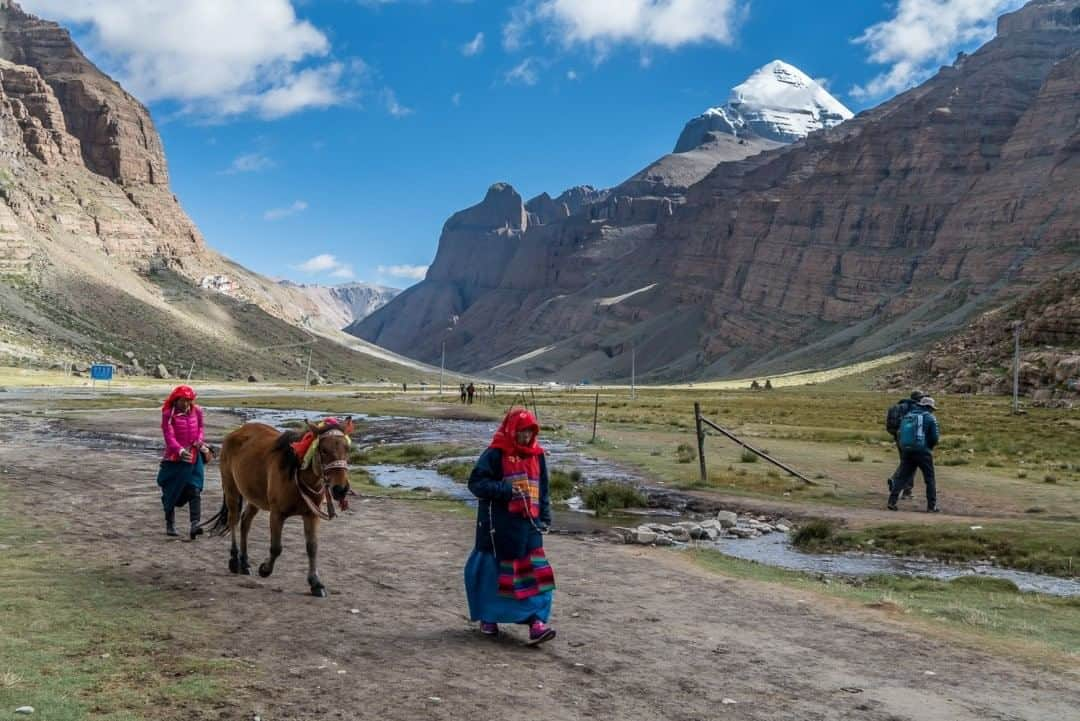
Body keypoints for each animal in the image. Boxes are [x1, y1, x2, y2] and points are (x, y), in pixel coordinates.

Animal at [204, 416, 352, 595]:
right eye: (323, 450)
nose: (341, 489)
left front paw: (315, 583)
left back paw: (244, 562)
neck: (296, 474)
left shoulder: (311, 515)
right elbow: (276, 547)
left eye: (347, 449)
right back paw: (234, 560)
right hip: (231, 488)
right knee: (233, 521)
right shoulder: (277, 514)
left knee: (245, 523)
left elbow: (312, 547)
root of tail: (235, 432)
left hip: (254, 497)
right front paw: (265, 569)